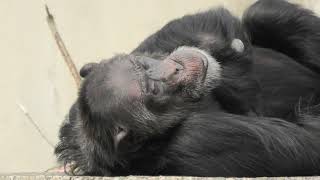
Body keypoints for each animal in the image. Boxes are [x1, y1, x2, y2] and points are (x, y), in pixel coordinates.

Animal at [55, 0, 320, 177]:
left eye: (142, 66)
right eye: (153, 89)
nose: (173, 69)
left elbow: (196, 26)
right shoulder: (199, 138)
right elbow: (310, 140)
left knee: (263, 13)